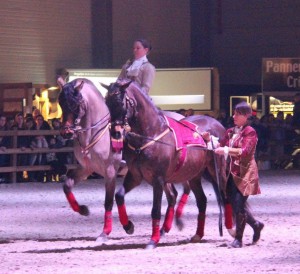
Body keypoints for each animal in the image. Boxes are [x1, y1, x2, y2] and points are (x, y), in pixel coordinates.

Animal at [57, 77, 122, 242]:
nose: (67, 132)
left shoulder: (110, 172)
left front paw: (105, 232)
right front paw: (83, 210)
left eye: (76, 104)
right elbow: (67, 185)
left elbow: (108, 202)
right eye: (61, 104)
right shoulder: (86, 168)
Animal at [104, 81, 229, 248]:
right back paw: (196, 234)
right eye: (106, 102)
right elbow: (119, 196)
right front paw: (128, 226)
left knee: (225, 195)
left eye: (119, 101)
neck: (152, 134)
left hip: (217, 172)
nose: (114, 133)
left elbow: (156, 210)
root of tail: (217, 125)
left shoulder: (158, 179)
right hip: (194, 174)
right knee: (201, 201)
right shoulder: (136, 176)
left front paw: (153, 240)